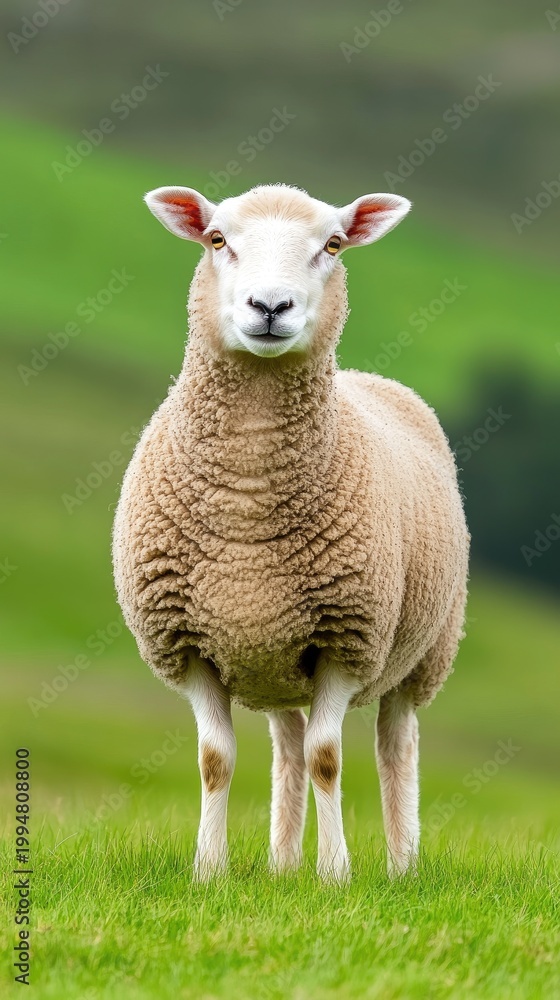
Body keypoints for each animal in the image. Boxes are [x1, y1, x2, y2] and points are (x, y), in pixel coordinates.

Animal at [112, 183, 469, 882]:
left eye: (332, 245)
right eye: (217, 238)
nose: (271, 306)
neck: (248, 496)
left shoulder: (346, 640)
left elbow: (329, 758)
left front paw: (335, 876)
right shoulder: (189, 644)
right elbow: (216, 761)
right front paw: (210, 873)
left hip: (423, 651)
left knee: (395, 743)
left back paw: (401, 867)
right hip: (271, 654)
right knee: (287, 743)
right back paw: (281, 864)